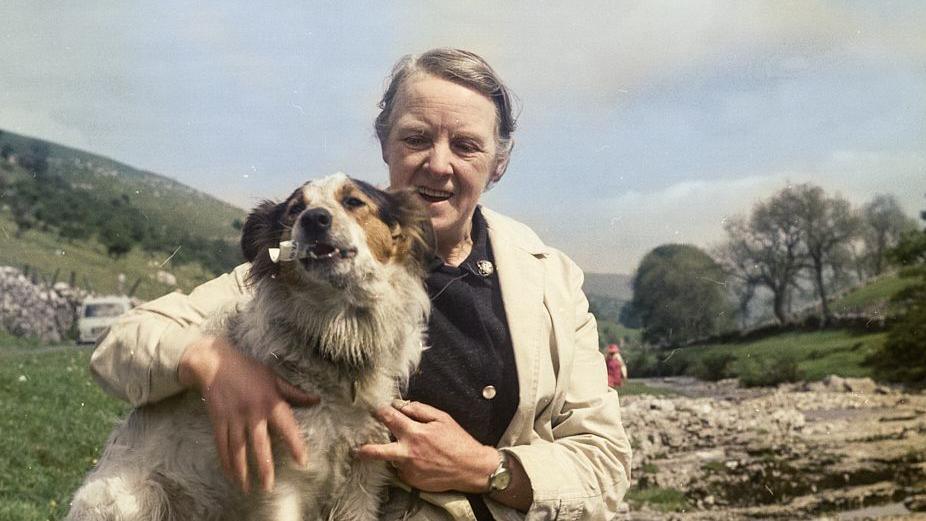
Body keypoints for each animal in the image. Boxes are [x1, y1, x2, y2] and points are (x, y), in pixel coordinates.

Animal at [67, 175, 436, 520]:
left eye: (354, 201)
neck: (335, 344)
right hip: (137, 497)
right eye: (295, 210)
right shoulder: (283, 481)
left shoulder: (363, 479)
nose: (314, 219)